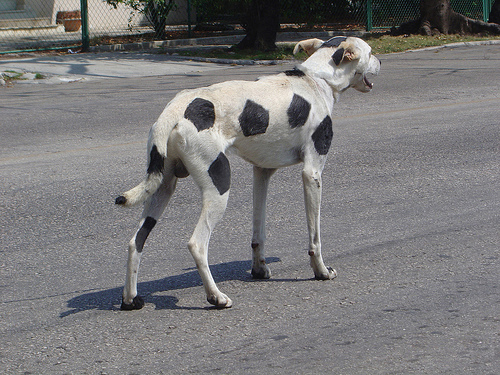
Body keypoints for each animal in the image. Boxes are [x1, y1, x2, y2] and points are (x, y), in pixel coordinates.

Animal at [115, 36, 378, 310]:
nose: (380, 61)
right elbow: (314, 237)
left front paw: (259, 269)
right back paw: (215, 296)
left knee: (136, 241)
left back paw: (130, 298)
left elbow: (258, 233)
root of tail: (175, 109)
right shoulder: (312, 173)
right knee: (197, 244)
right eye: (371, 53)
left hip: (161, 190)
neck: (316, 78)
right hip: (219, 186)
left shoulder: (262, 173)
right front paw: (321, 271)